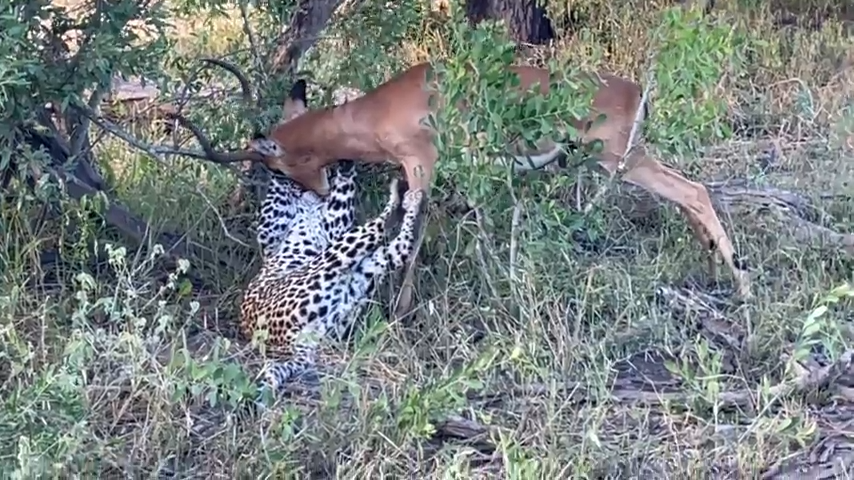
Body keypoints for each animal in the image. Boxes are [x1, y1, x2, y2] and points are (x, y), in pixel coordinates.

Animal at [174, 58, 751, 318]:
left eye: (278, 165)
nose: (311, 195)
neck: (374, 113)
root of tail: (636, 90)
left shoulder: (421, 166)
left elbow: (412, 234)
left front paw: (399, 306)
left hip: (619, 161)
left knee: (694, 191)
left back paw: (741, 285)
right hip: (629, 160)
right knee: (690, 194)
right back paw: (714, 271)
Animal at [240, 159, 425, 397]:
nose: (310, 188)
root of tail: (292, 345)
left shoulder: (332, 224)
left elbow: (340, 189)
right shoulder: (274, 229)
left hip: (358, 274)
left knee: (395, 246)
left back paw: (407, 198)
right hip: (333, 261)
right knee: (384, 234)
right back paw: (404, 197)